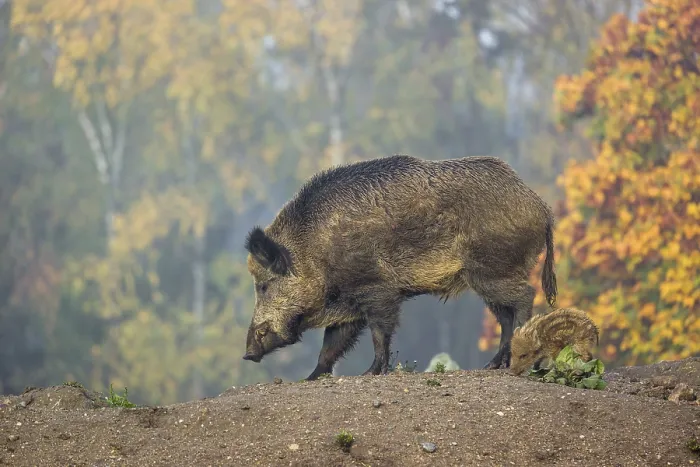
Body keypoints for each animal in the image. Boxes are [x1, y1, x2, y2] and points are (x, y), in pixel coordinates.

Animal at [242, 154, 558, 380]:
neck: (314, 251)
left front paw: (371, 372)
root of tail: (541, 207)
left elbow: (379, 332)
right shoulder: (347, 306)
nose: (247, 354)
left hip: (494, 269)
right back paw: (491, 366)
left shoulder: (376, 288)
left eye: (264, 285)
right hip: (487, 277)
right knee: (504, 316)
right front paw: (310, 379)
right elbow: (330, 346)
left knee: (524, 297)